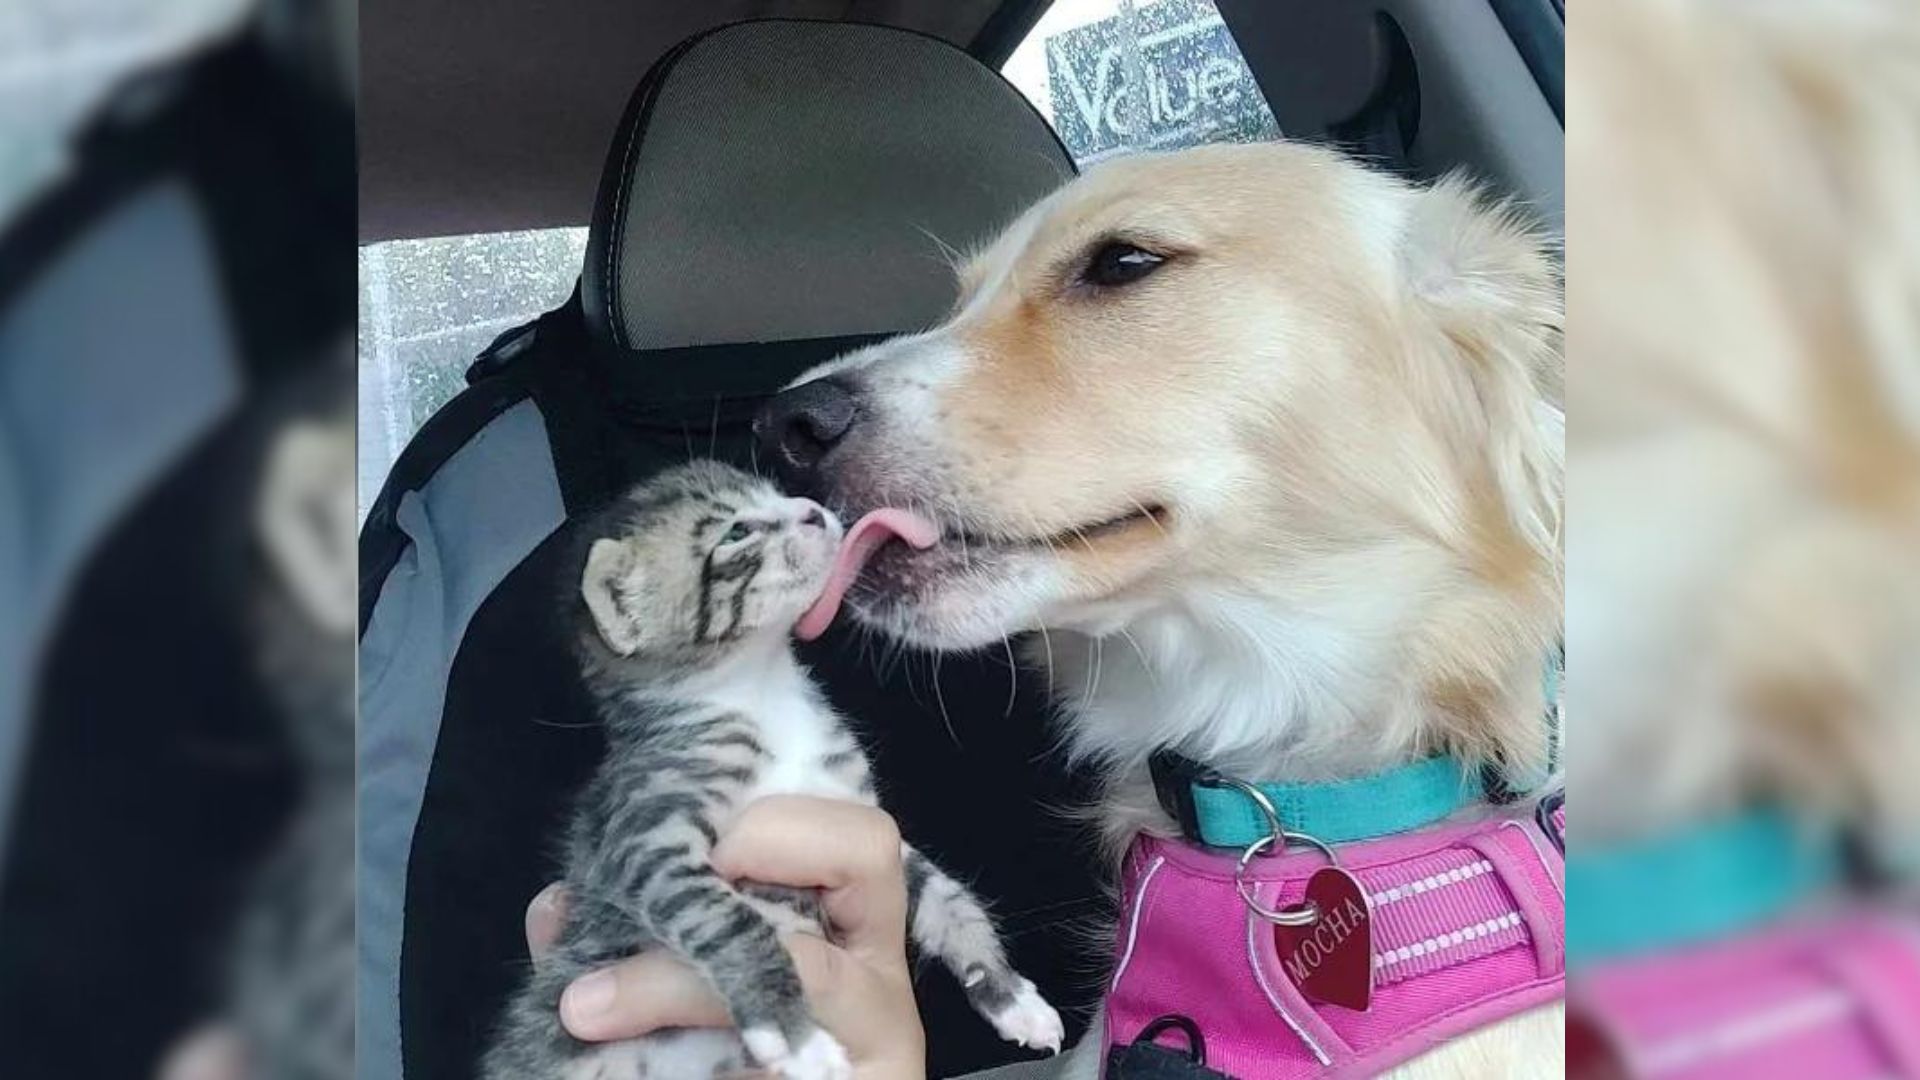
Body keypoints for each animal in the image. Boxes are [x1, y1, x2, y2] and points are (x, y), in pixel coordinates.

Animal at [472, 461, 1059, 1076]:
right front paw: (794, 1032)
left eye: (777, 495)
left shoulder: (860, 819)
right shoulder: (645, 839)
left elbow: (949, 898)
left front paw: (1008, 993)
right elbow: (731, 920)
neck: (763, 689)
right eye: (736, 532)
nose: (813, 510)